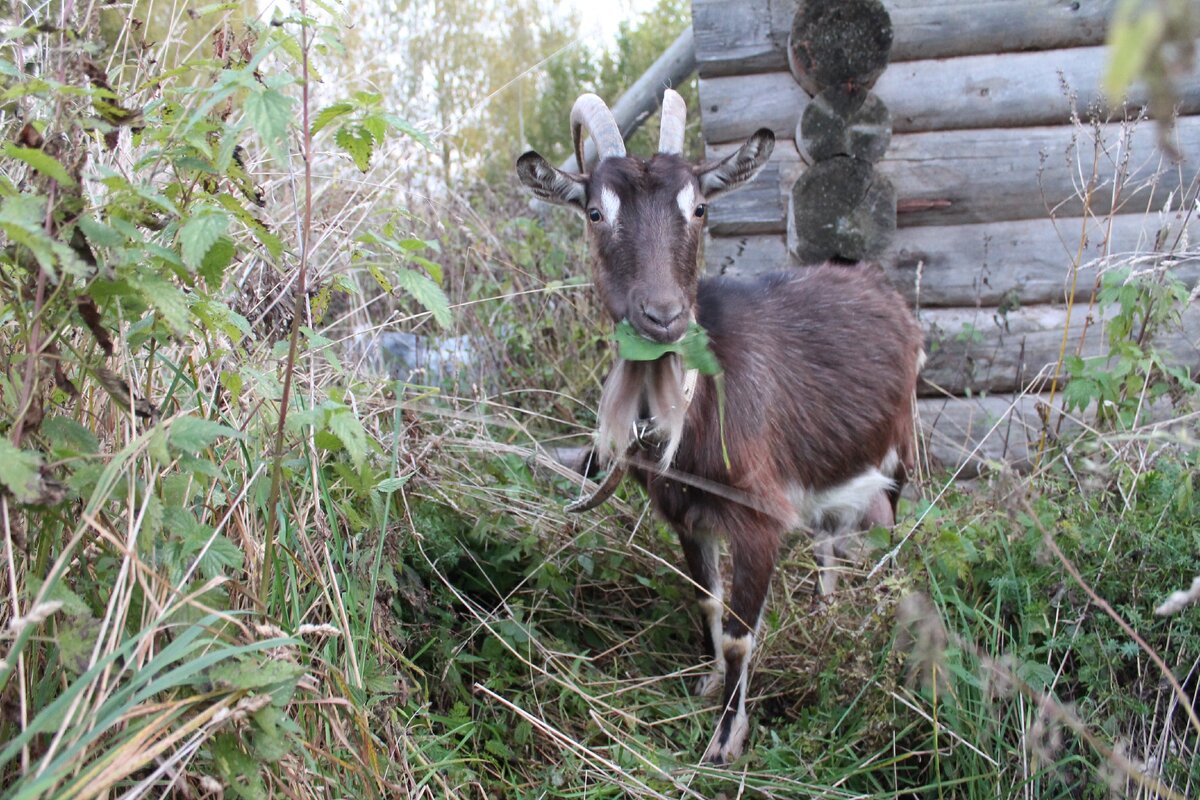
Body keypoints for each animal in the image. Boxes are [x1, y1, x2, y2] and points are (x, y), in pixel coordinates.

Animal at [513, 90, 916, 767]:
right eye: (595, 212)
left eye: (699, 206)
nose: (663, 315)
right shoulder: (687, 515)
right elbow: (708, 599)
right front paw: (706, 684)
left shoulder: (758, 518)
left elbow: (738, 636)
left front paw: (725, 742)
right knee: (829, 536)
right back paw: (828, 606)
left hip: (900, 447)